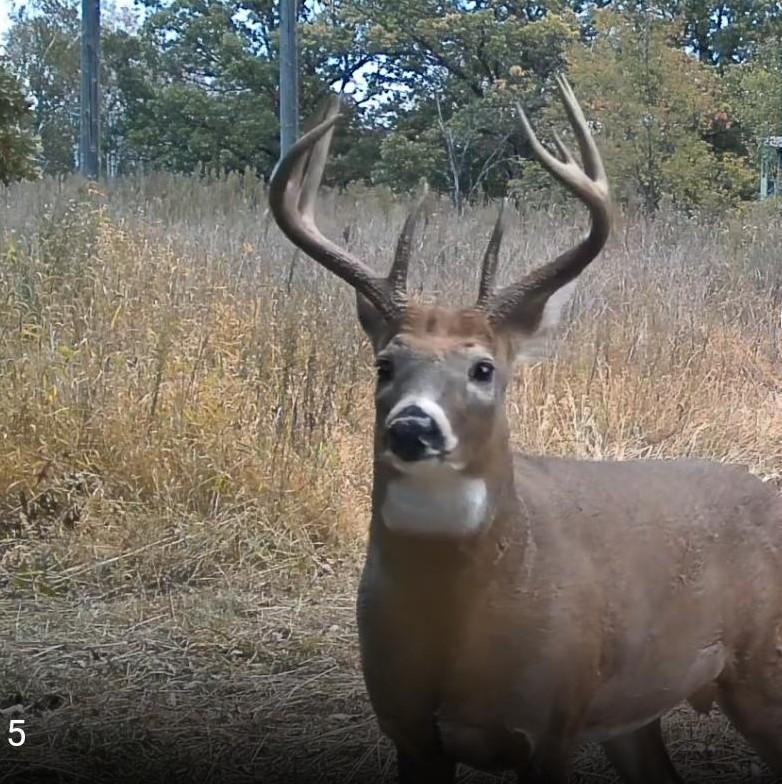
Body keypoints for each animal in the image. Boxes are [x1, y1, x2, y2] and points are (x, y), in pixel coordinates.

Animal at [268, 77, 782, 784]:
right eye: (385, 364)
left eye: (484, 367)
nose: (412, 426)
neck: (460, 634)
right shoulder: (408, 730)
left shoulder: (554, 723)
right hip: (637, 709)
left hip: (764, 671)